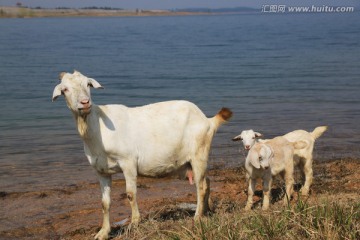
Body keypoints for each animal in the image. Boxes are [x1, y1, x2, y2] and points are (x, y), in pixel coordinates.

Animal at [52, 70, 232, 239]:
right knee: (206, 182)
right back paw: (206, 212)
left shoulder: (128, 162)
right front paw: (103, 233)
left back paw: (197, 217)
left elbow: (131, 194)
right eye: (65, 89)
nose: (85, 102)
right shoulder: (101, 170)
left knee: (200, 187)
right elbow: (105, 203)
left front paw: (134, 224)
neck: (97, 128)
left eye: (88, 84)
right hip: (189, 162)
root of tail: (207, 120)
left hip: (199, 153)